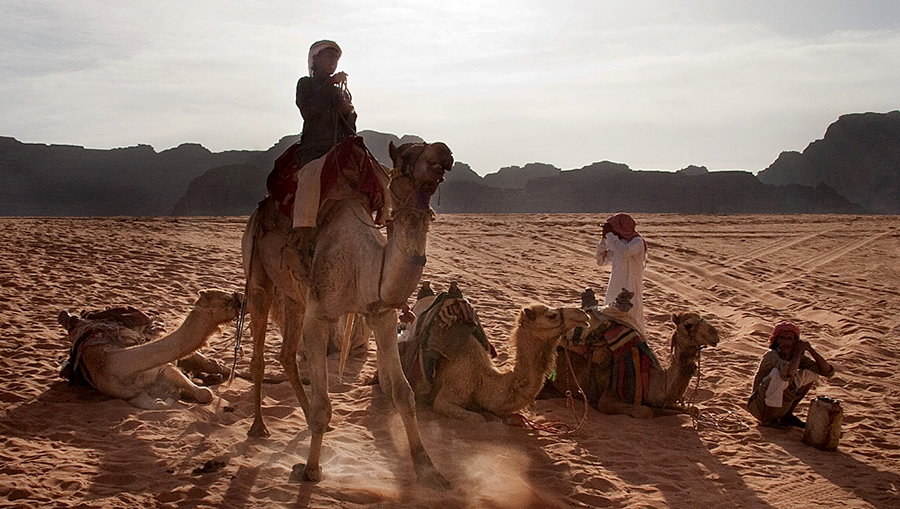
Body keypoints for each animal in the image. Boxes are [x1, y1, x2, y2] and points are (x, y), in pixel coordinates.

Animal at [58, 290, 244, 408]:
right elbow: (157, 404)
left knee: (218, 366)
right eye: (226, 299)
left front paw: (177, 392)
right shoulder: (130, 394)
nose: (242, 298)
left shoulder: (165, 368)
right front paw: (172, 395)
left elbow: (203, 393)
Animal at [243, 137, 454, 486]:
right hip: (259, 275)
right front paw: (311, 470)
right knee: (259, 351)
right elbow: (324, 403)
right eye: (408, 155)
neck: (364, 266)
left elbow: (403, 394)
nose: (444, 152)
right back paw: (259, 427)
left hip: (296, 298)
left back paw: (307, 421)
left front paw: (429, 469)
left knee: (287, 353)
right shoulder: (320, 317)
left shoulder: (382, 315)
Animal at [536, 286, 720, 416]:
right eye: (689, 324)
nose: (715, 334)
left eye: (703, 319)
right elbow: (646, 411)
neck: (650, 377)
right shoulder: (608, 397)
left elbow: (694, 410)